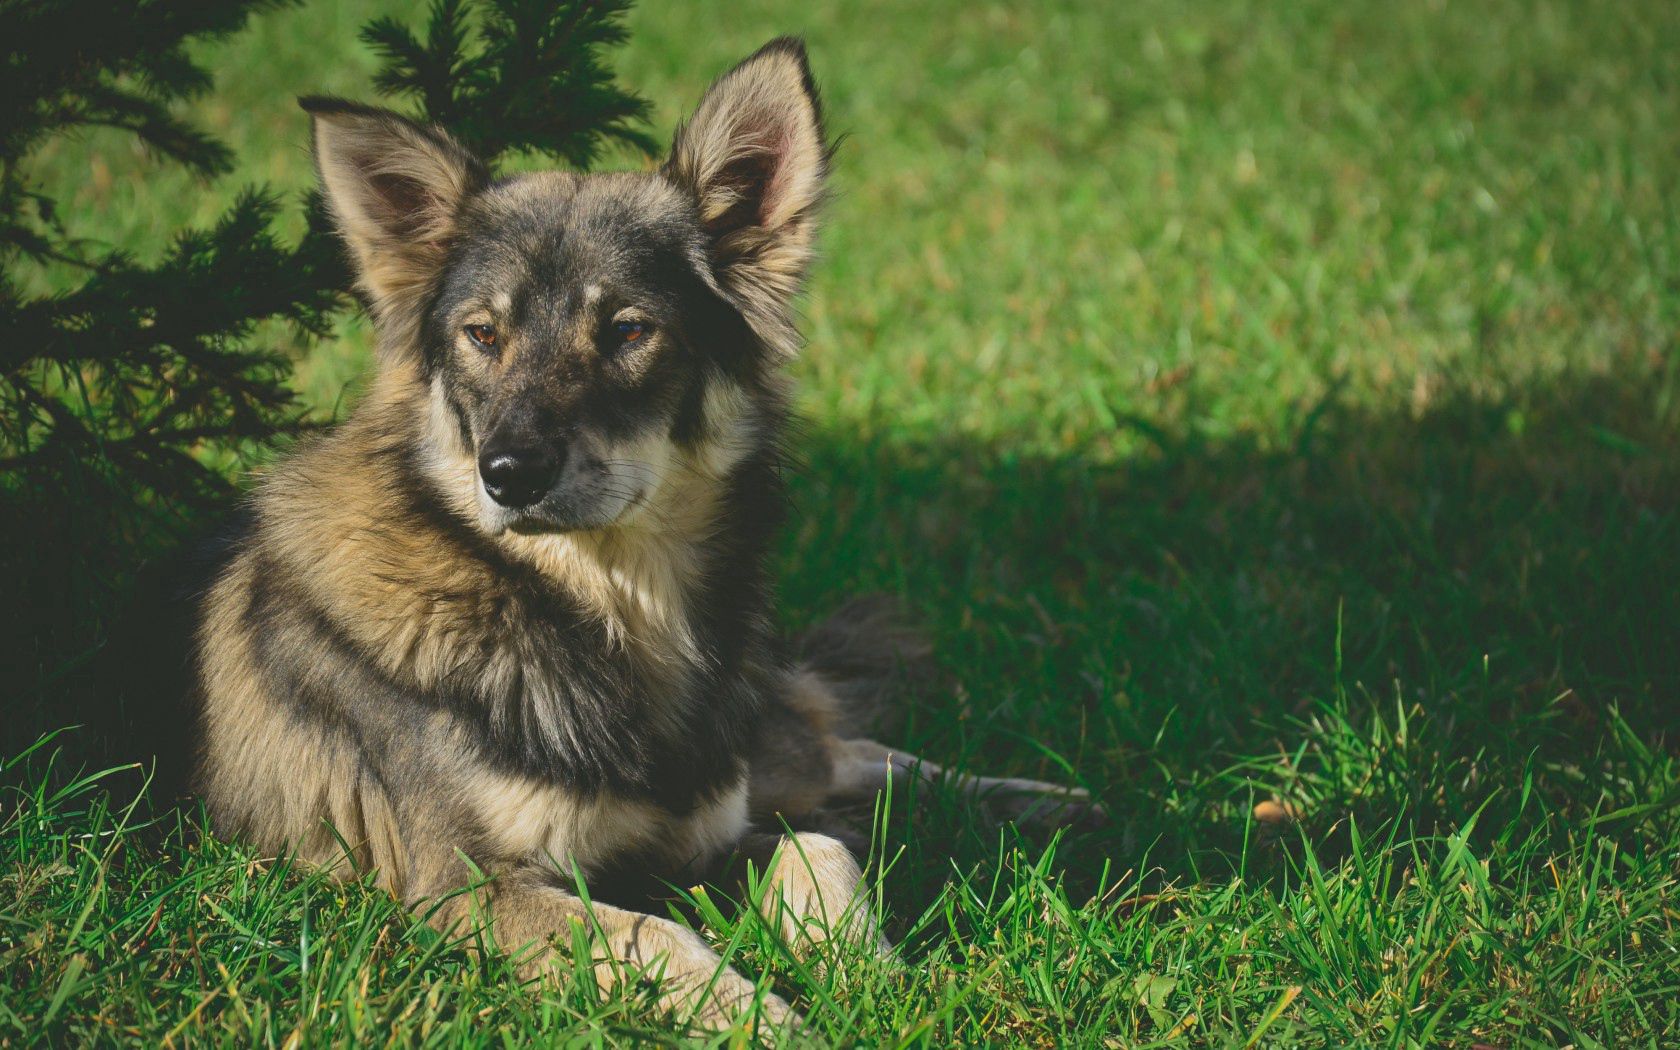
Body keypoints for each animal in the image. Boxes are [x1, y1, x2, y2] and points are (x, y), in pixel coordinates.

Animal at [190, 36, 1095, 1028]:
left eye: (627, 330)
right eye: (482, 335)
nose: (508, 474)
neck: (605, 606)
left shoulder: (700, 832)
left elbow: (819, 850)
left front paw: (870, 975)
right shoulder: (471, 887)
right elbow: (660, 935)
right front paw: (771, 1018)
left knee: (843, 755)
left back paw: (1043, 800)